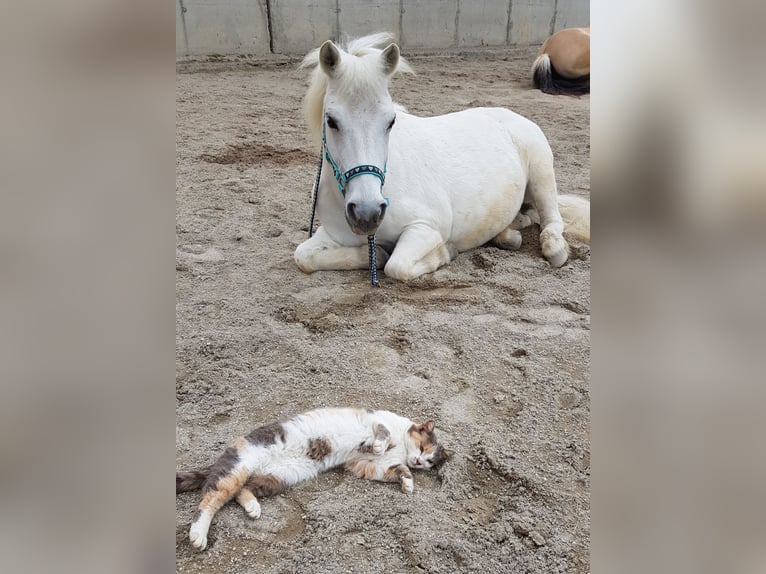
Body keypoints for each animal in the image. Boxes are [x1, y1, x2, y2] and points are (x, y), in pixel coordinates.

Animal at [176, 408, 450, 552]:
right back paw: (198, 535)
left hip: (277, 477)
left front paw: (408, 482)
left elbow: (395, 469)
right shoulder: (377, 420)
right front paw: (381, 444)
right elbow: (384, 431)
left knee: (242, 491)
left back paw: (253, 507)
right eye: (423, 448)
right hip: (239, 467)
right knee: (210, 499)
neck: (402, 448)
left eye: (429, 462)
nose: (418, 462)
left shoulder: (366, 466)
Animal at [296, 33, 592, 282]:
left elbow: (397, 266)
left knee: (552, 219)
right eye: (331, 121)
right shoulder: (333, 234)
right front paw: (376, 252)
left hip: (542, 174)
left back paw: (553, 248)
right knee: (527, 218)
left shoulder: (425, 227)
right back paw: (508, 234)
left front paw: (445, 252)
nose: (367, 214)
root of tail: (513, 116)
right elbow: (303, 256)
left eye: (391, 121)